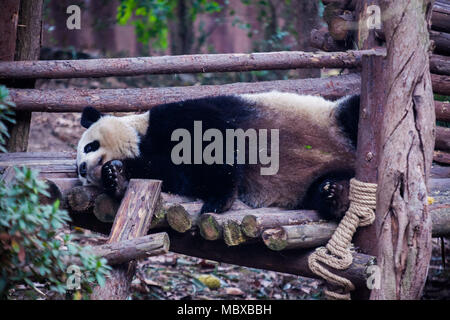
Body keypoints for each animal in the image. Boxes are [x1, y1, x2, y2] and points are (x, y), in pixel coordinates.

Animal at [76, 92, 358, 220]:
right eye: (82, 174)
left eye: (89, 147)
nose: (83, 168)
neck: (143, 136)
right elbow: (176, 175)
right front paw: (116, 175)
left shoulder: (181, 115)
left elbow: (213, 144)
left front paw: (218, 201)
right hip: (312, 183)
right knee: (321, 190)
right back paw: (335, 195)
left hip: (333, 119)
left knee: (352, 111)